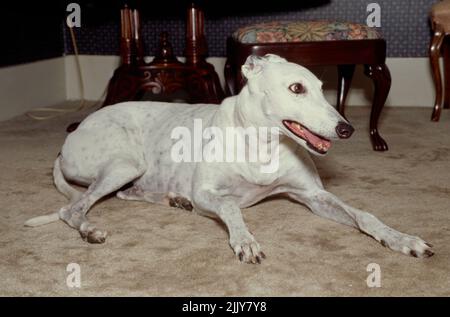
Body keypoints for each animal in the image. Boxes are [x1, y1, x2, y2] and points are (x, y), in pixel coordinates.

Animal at [24, 53, 432, 262]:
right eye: (296, 88)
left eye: (321, 87)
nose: (346, 129)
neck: (263, 143)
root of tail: (69, 138)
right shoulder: (209, 193)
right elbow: (231, 206)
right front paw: (244, 240)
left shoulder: (314, 196)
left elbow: (365, 215)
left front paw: (402, 239)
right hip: (123, 163)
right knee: (72, 209)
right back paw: (90, 229)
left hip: (131, 171)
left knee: (126, 193)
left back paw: (173, 199)